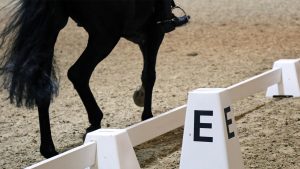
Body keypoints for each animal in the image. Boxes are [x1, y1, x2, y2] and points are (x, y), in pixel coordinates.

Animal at [0, 0, 188, 158]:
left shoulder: (143, 37)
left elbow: (146, 75)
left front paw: (140, 98)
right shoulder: (154, 34)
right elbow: (149, 75)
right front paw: (147, 117)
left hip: (53, 27)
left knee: (43, 86)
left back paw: (49, 149)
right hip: (105, 36)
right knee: (78, 73)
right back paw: (94, 121)